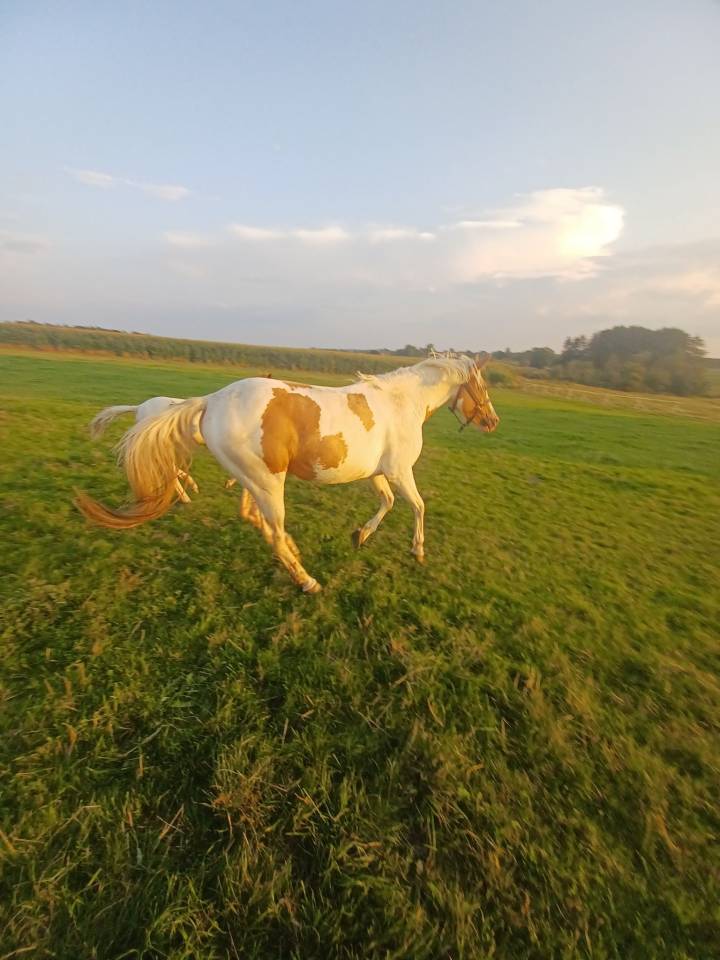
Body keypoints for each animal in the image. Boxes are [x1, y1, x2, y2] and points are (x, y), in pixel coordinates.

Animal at [76, 354, 499, 593]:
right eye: (482, 387)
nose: (493, 421)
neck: (399, 404)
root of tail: (212, 401)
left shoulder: (379, 473)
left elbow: (389, 503)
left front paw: (360, 535)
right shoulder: (398, 470)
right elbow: (417, 506)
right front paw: (418, 550)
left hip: (255, 480)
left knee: (254, 518)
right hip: (268, 483)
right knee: (273, 533)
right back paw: (307, 580)